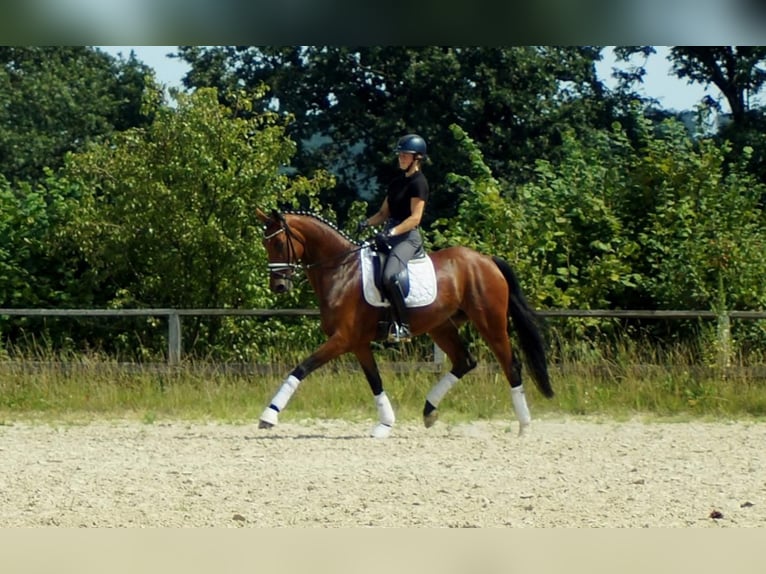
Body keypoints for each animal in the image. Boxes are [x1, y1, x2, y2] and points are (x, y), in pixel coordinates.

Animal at [256, 209, 552, 438]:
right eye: (265, 245)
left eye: (279, 243)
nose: (279, 286)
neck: (342, 270)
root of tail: (486, 260)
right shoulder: (358, 343)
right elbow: (375, 381)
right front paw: (385, 424)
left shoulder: (342, 339)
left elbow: (301, 368)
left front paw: (269, 416)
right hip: (441, 326)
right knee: (464, 361)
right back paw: (429, 411)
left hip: (490, 322)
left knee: (510, 364)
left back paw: (524, 426)